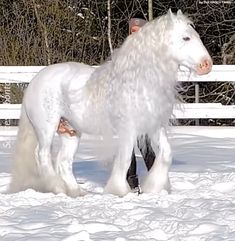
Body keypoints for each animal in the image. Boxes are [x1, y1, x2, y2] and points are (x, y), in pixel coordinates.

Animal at [9, 9, 212, 198]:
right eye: (186, 37)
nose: (207, 65)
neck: (140, 80)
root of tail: (36, 80)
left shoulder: (153, 127)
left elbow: (165, 155)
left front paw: (153, 188)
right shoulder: (128, 129)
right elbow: (124, 160)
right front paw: (119, 191)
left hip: (71, 132)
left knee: (63, 162)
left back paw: (77, 193)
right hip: (46, 128)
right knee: (42, 156)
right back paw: (57, 188)